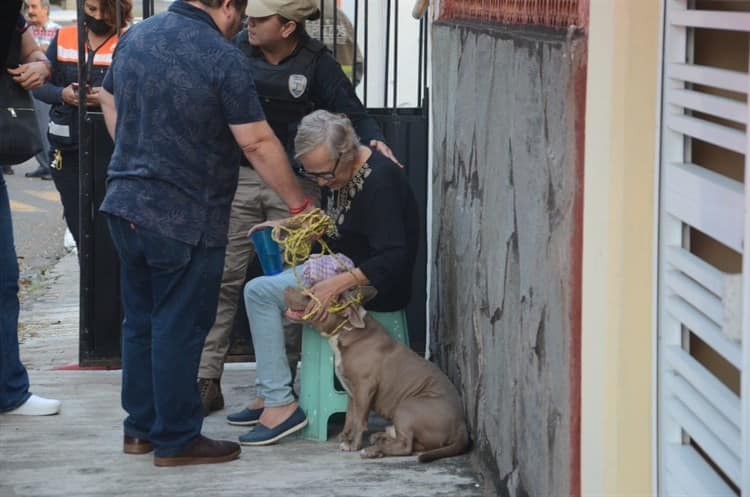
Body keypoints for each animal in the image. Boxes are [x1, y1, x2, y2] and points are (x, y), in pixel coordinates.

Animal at [284, 284, 472, 464]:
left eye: (311, 294)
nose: (286, 288)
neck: (347, 329)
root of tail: (461, 426)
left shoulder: (365, 387)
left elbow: (359, 419)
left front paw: (353, 445)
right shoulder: (352, 391)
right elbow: (350, 415)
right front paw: (346, 436)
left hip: (407, 407)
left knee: (406, 446)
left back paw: (373, 450)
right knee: (415, 445)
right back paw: (381, 438)